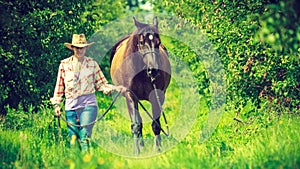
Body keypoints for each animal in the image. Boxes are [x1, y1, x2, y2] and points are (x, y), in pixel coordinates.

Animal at [110, 16, 171, 154]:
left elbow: (156, 124)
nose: (153, 70)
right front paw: (136, 152)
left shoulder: (157, 96)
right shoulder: (130, 96)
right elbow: (136, 125)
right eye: (142, 42)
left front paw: (158, 149)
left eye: (158, 42)